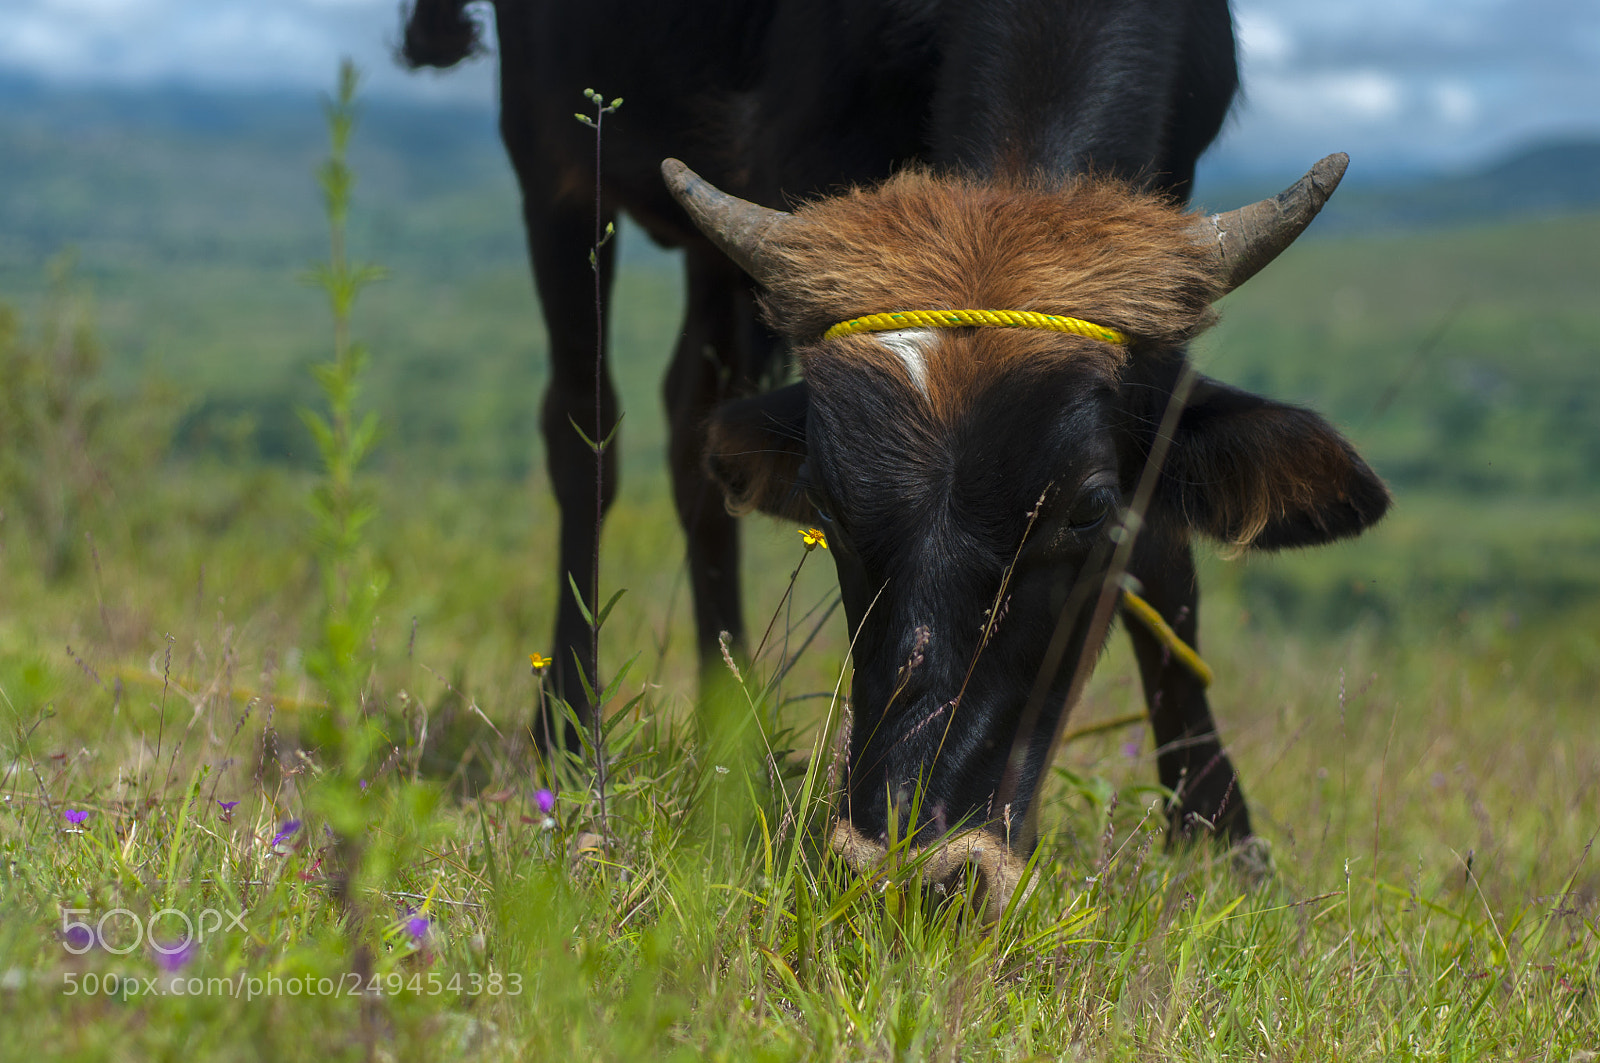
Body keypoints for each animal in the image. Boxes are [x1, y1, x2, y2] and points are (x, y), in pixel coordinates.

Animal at [401, 0, 1389, 915]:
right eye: (829, 504)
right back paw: (573, 736)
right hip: (557, 158)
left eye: (1088, 508)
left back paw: (734, 728)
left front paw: (1221, 835)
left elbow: (1166, 558)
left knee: (694, 424)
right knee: (585, 431)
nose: (914, 873)